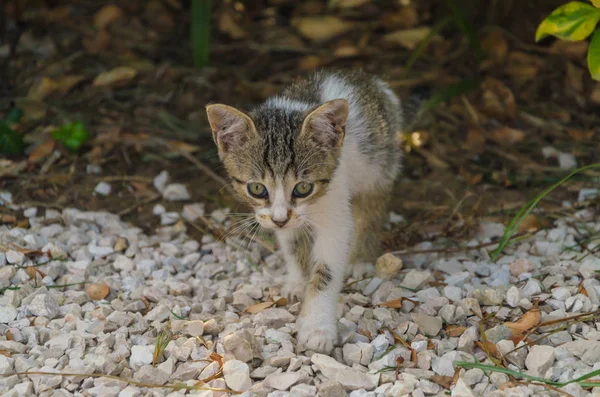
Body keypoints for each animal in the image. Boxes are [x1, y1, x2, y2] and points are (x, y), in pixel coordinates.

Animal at [209, 69, 406, 352]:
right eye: (257, 188)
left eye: (303, 187)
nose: (280, 219)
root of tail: (372, 81)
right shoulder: (278, 219)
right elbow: (292, 245)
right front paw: (298, 281)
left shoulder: (335, 213)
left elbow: (326, 270)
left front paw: (317, 327)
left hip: (379, 167)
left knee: (372, 208)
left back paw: (361, 257)